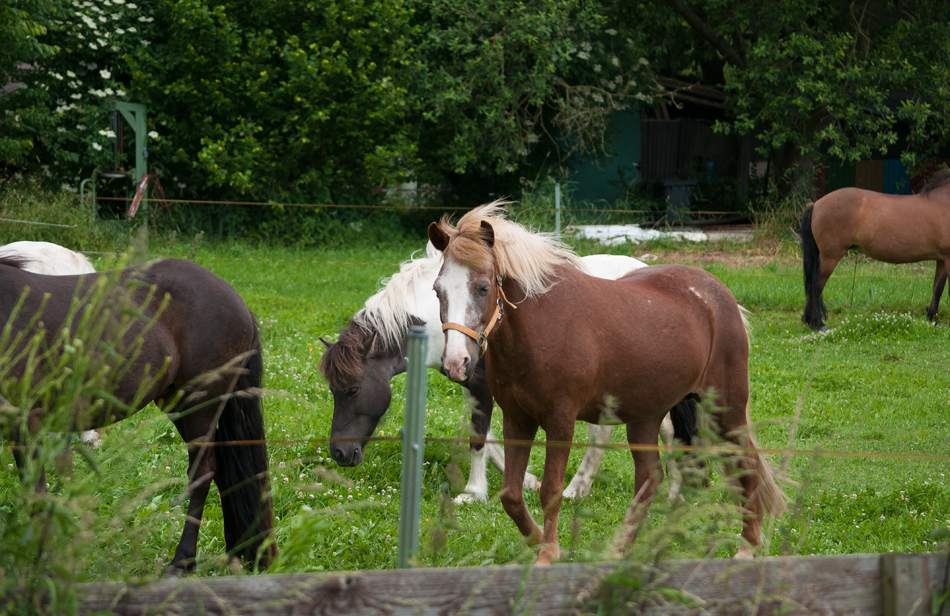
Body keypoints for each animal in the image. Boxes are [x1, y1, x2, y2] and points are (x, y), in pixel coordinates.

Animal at [0, 256, 276, 572]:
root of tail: (236, 299)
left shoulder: (25, 421)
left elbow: (35, 493)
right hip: (177, 403)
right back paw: (234, 554)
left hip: (200, 405)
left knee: (203, 472)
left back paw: (183, 561)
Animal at [432, 202, 788, 564]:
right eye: (438, 290)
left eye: (483, 287)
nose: (456, 363)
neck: (540, 326)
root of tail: (719, 295)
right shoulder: (518, 420)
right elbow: (511, 495)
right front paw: (541, 542)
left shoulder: (560, 421)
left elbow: (550, 490)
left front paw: (549, 553)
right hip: (646, 417)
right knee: (651, 479)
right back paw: (618, 550)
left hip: (725, 410)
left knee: (746, 468)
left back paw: (747, 548)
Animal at [804, 168, 950, 332]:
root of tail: (816, 204)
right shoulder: (949, 257)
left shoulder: (942, 258)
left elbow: (937, 288)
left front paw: (933, 319)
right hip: (830, 257)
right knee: (817, 285)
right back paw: (818, 324)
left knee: (811, 285)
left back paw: (808, 321)